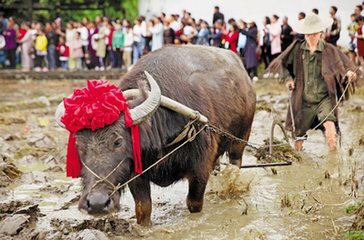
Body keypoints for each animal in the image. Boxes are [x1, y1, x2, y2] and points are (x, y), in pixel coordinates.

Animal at [57, 44, 256, 225]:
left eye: (118, 142)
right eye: (78, 145)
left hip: (242, 137)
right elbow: (143, 209)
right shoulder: (136, 174)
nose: (97, 203)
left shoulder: (199, 168)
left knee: (235, 163)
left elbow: (194, 203)